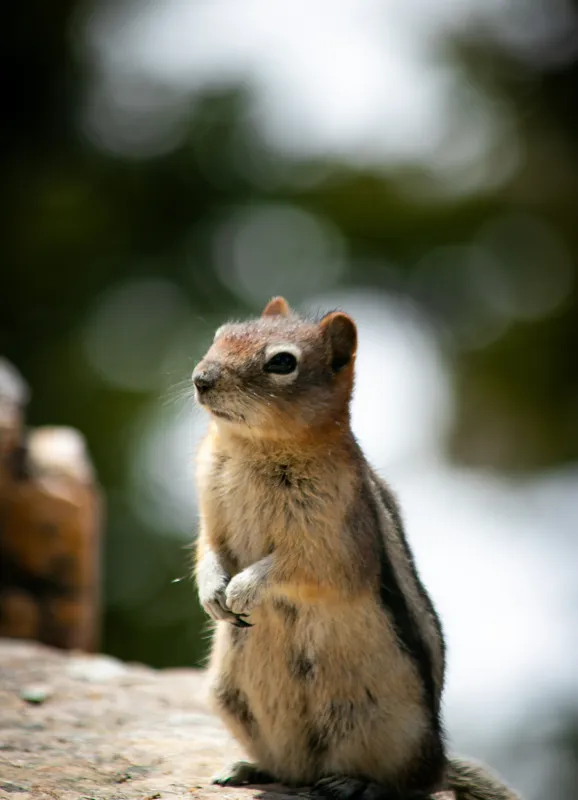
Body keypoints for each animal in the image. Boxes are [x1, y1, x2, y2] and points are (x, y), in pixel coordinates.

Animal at [193, 297, 522, 800]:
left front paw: (244, 588)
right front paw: (212, 592)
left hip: (380, 725)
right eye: (219, 334)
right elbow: (208, 551)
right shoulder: (210, 517)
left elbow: (302, 569)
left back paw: (356, 783)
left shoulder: (332, 539)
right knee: (291, 769)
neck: (254, 447)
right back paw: (249, 768)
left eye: (282, 363)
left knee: (406, 784)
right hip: (230, 699)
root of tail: (439, 762)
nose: (201, 378)